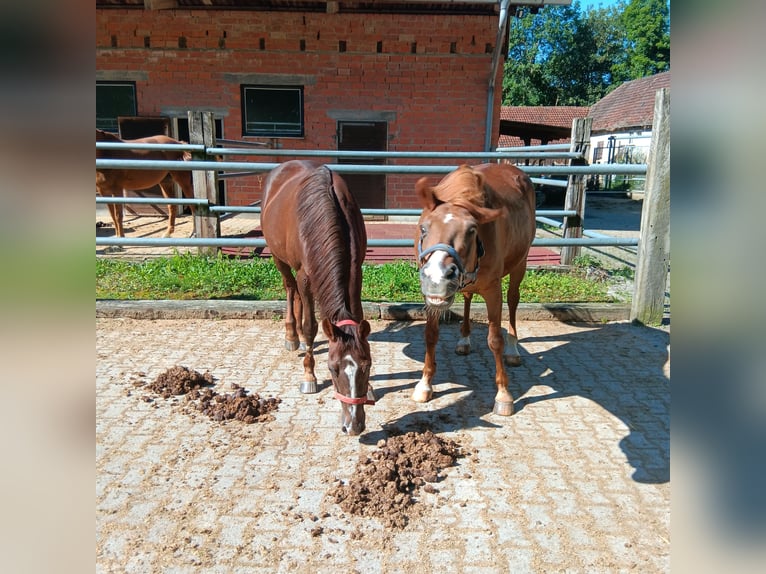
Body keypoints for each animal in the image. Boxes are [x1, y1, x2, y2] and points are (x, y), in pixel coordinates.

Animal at [260, 160, 376, 438]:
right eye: (332, 369)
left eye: (366, 366)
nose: (353, 426)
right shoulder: (305, 275)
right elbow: (311, 325)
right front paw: (309, 376)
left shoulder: (356, 271)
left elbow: (356, 315)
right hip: (279, 259)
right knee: (290, 289)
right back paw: (292, 336)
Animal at [414, 162, 536, 418]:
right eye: (424, 228)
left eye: (472, 230)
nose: (437, 277)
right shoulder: (431, 298)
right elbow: (430, 335)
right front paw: (425, 383)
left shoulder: (493, 290)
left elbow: (495, 340)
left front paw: (503, 395)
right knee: (468, 297)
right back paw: (464, 340)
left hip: (520, 263)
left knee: (513, 301)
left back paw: (513, 349)